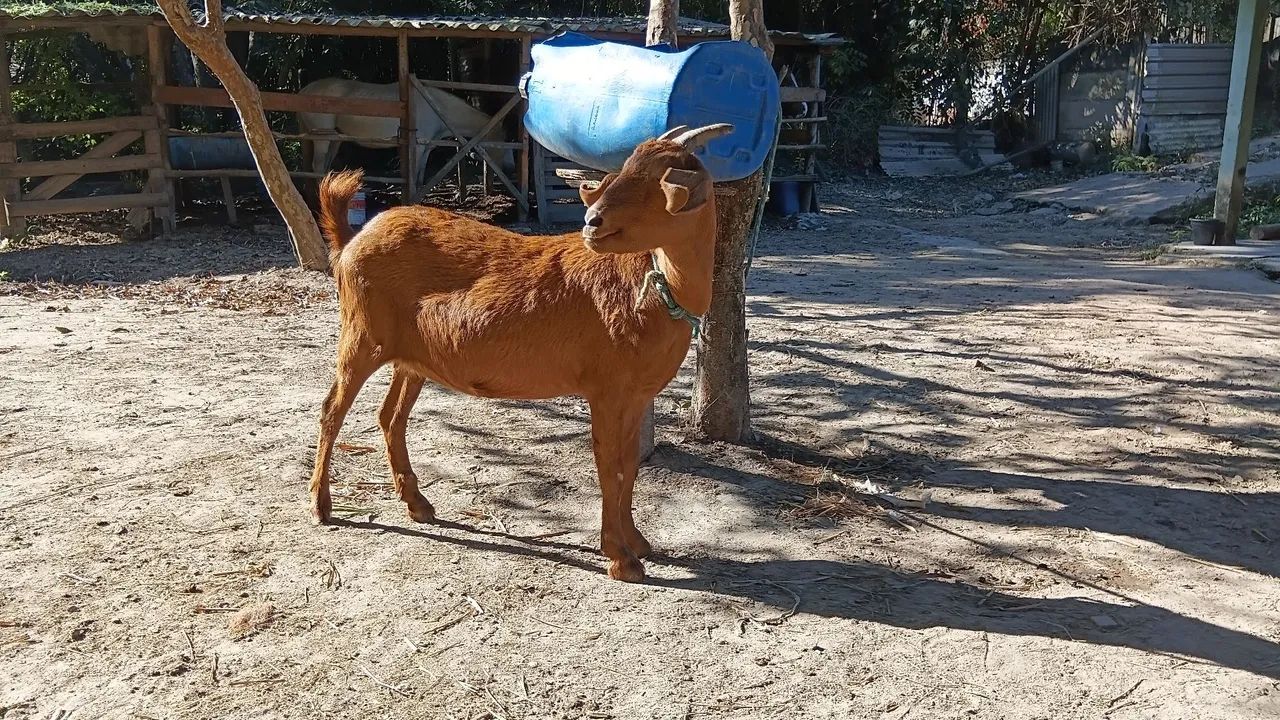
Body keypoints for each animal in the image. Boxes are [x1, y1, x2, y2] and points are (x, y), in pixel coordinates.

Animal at [297, 75, 515, 184]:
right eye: (505, 142)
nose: (511, 168)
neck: (435, 106)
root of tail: (303, 91)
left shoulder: (426, 149)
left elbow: (419, 178)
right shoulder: (417, 148)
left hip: (335, 139)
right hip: (323, 137)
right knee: (318, 167)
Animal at [308, 123, 732, 582]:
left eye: (658, 181)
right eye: (625, 169)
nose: (592, 222)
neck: (651, 286)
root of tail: (353, 240)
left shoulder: (637, 394)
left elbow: (631, 464)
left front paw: (637, 542)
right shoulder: (606, 390)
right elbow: (609, 465)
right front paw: (620, 558)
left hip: (411, 359)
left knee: (390, 416)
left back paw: (417, 504)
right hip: (362, 335)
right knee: (332, 409)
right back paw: (321, 506)